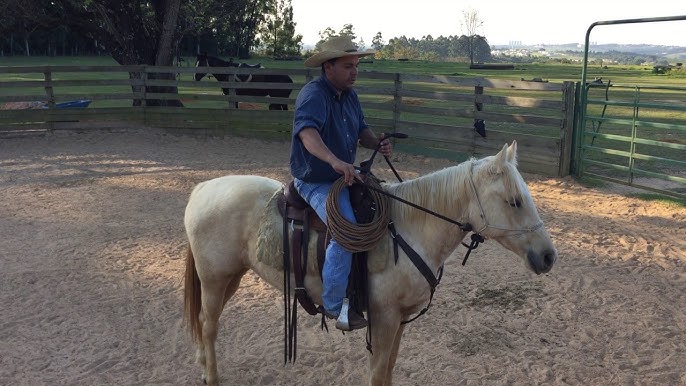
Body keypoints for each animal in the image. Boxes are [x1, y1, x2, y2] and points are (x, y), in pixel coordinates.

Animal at [184, 142, 560, 386]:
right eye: (514, 201)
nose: (548, 256)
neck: (410, 228)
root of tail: (201, 189)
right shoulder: (384, 317)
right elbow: (378, 371)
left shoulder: (402, 318)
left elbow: (389, 368)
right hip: (215, 278)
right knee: (210, 325)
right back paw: (212, 376)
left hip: (230, 276)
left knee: (202, 321)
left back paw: (202, 364)